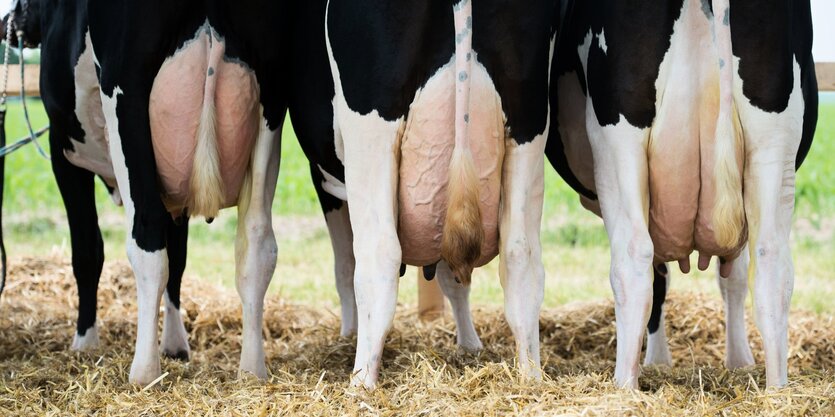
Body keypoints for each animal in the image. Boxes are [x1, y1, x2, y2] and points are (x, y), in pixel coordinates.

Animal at [0, 0, 191, 358]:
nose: (8, 20)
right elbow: (177, 253)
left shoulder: (65, 152)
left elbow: (87, 249)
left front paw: (85, 341)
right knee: (173, 249)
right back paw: (172, 344)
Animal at [548, 0, 816, 386]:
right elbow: (733, 277)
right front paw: (739, 361)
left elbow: (664, 276)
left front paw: (658, 361)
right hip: (773, 140)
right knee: (771, 263)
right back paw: (777, 389)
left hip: (617, 137)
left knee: (634, 258)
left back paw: (624, 386)